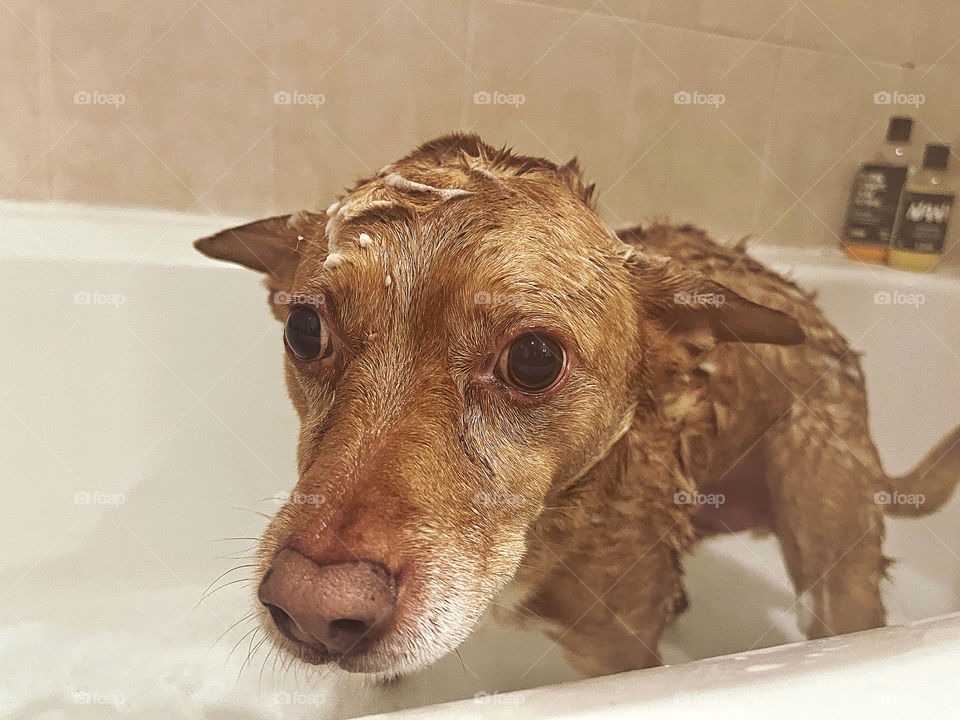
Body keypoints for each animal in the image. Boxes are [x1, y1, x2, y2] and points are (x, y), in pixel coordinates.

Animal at [193, 135, 960, 680]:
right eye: (304, 331)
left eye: (534, 359)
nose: (312, 607)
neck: (546, 532)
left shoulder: (614, 658)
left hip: (836, 566)